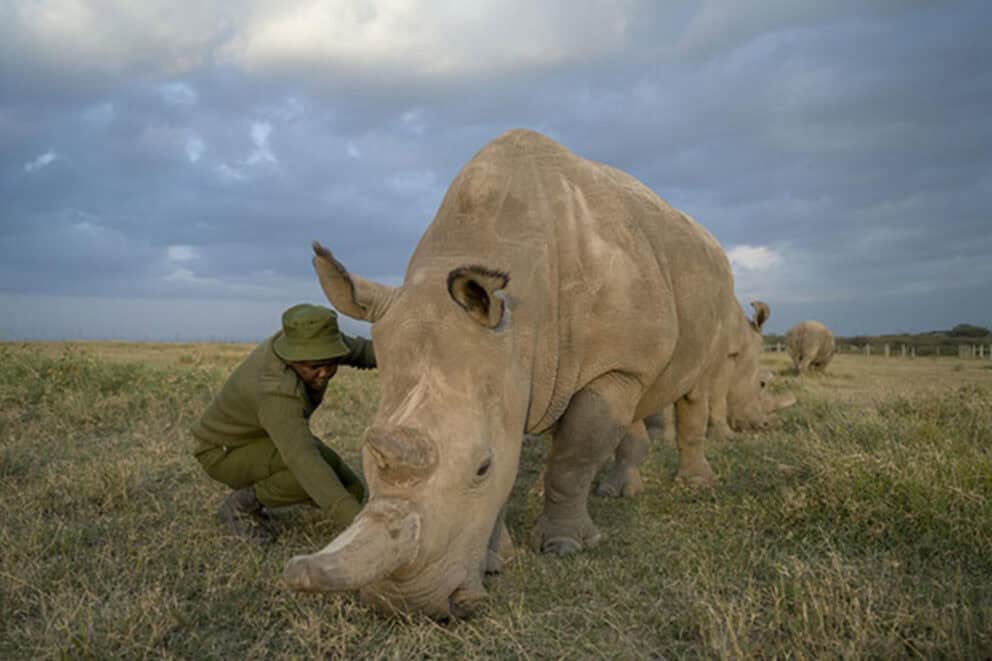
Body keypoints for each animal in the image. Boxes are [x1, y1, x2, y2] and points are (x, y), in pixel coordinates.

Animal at [283, 129, 788, 618]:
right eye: (367, 454)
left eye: (481, 467)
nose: (404, 606)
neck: (523, 322)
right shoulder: (507, 366)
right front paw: (495, 561)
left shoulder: (611, 366)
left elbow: (575, 456)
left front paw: (564, 547)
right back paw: (614, 492)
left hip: (711, 300)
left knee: (693, 387)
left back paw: (693, 483)